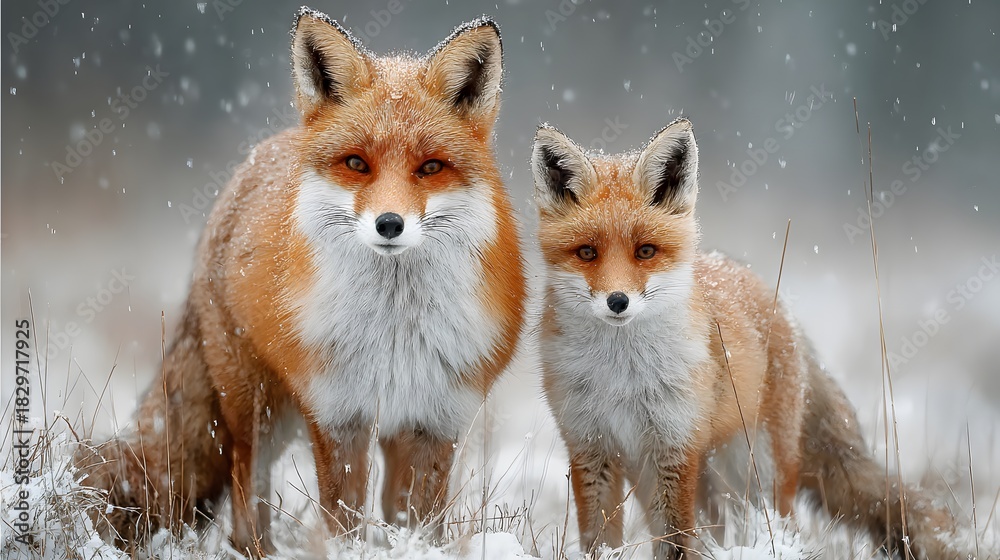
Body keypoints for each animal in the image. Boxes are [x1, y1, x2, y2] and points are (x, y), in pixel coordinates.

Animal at [75, 8, 526, 555]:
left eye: (430, 167)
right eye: (356, 163)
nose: (389, 224)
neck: (394, 330)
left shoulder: (433, 421)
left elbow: (414, 522)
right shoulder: (337, 414)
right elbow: (343, 519)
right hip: (255, 410)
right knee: (245, 492)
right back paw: (257, 550)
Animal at [532, 118, 961, 559]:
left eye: (645, 251)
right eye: (587, 253)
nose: (618, 301)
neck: (622, 376)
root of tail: (768, 293)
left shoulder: (674, 448)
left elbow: (676, 541)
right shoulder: (590, 447)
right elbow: (599, 540)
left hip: (755, 474)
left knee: (781, 526)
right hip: (685, 479)